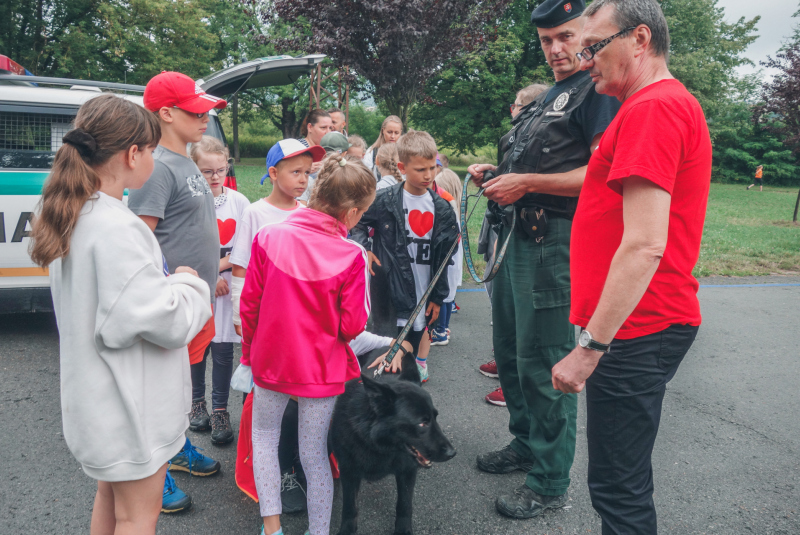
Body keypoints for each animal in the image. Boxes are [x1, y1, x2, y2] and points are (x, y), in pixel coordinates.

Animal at [332, 352, 456, 535]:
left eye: (435, 417)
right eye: (422, 423)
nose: (452, 453)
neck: (377, 444)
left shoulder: (407, 471)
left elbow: (404, 504)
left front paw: (403, 529)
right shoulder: (348, 472)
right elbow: (349, 507)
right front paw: (347, 529)